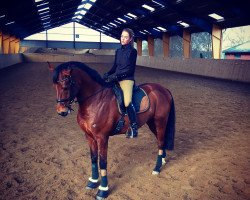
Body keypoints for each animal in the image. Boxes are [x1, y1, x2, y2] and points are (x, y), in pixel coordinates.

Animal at [47, 61, 175, 200]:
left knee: (161, 141)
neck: (94, 100)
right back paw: (162, 160)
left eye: (66, 86)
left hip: (160, 122)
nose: (61, 111)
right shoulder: (89, 136)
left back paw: (157, 168)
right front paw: (92, 181)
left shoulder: (102, 137)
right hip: (152, 123)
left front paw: (103, 190)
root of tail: (163, 89)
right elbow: (93, 159)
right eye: (54, 86)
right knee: (161, 141)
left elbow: (103, 162)